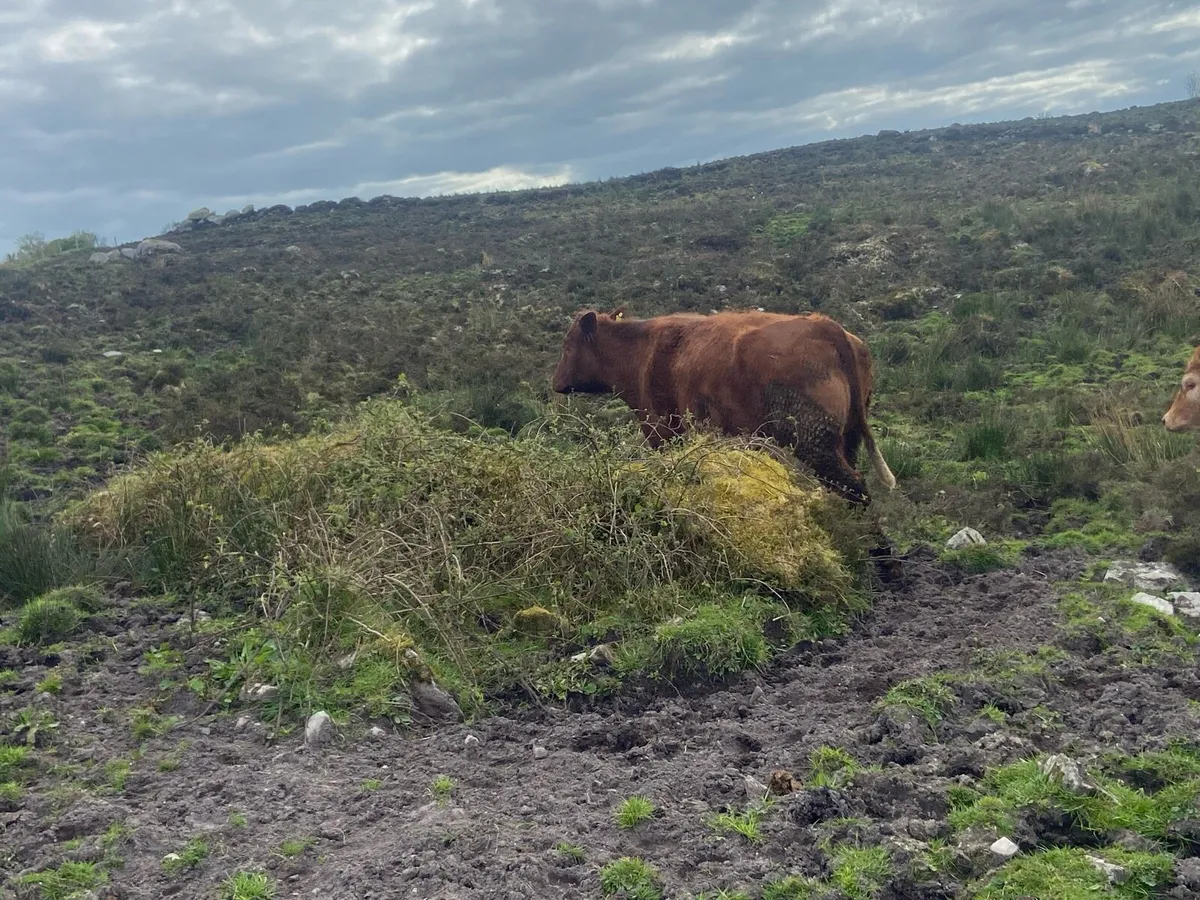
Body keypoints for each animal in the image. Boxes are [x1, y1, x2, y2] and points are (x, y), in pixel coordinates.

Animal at [551, 305, 896, 507]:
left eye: (567, 346)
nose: (555, 382)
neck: (642, 349)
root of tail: (823, 325)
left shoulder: (663, 432)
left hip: (814, 440)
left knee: (854, 486)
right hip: (846, 438)